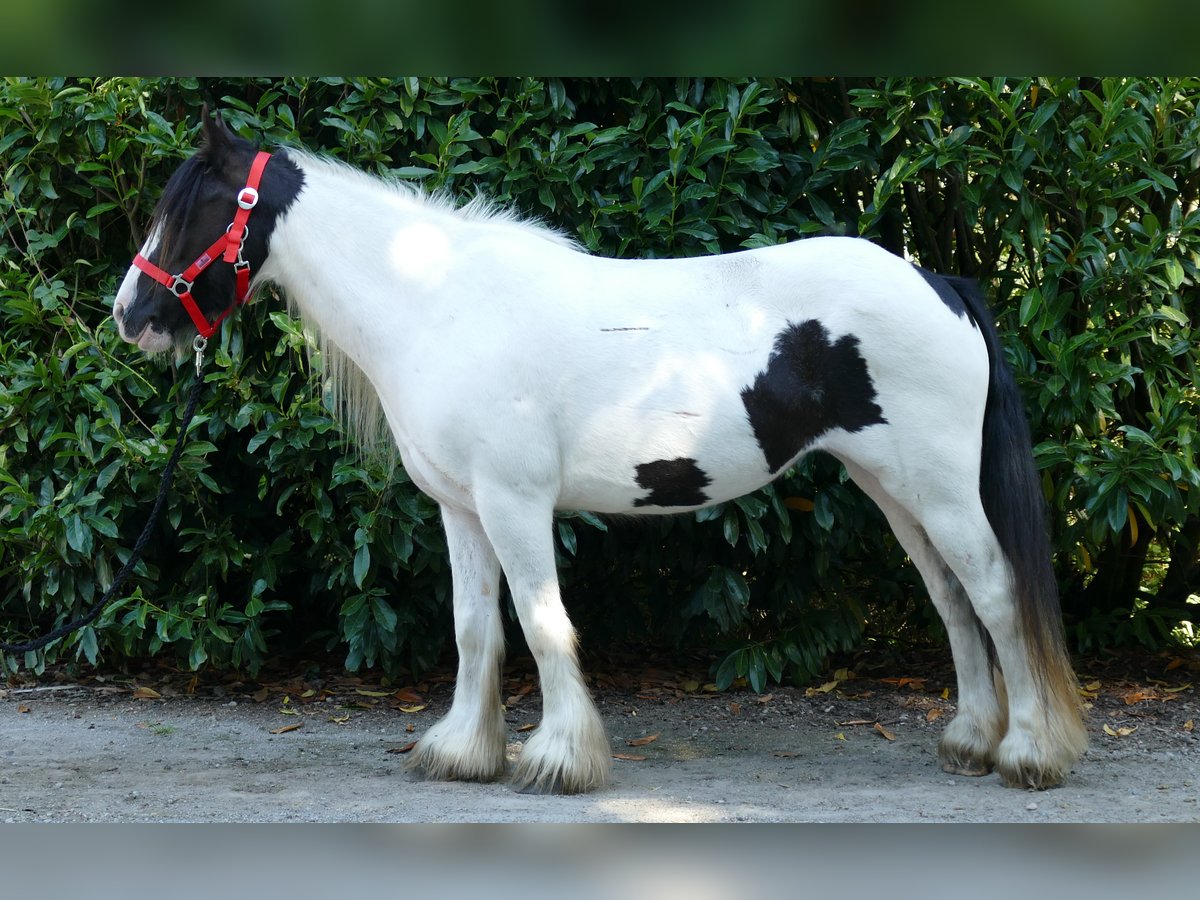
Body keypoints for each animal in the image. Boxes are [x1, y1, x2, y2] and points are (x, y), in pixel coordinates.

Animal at [112, 111, 1089, 796]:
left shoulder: (513, 502)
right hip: (894, 489)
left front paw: (559, 760)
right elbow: (475, 628)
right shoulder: (462, 509)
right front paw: (463, 752)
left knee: (995, 594)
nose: (130, 316)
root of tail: (938, 281)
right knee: (953, 602)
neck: (440, 305)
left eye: (192, 212)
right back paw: (970, 741)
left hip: (939, 489)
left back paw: (1029, 754)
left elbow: (543, 623)